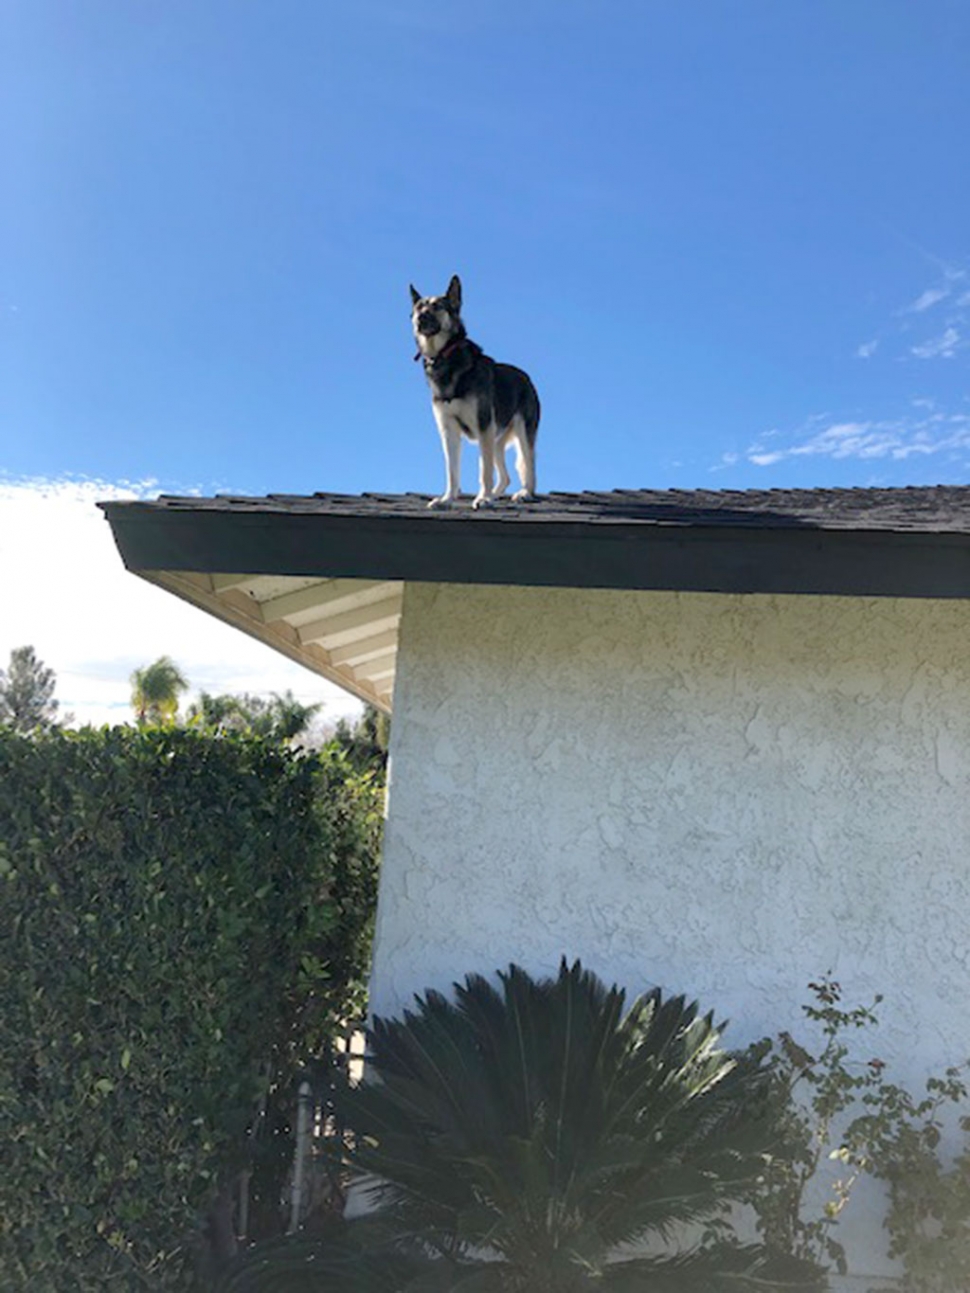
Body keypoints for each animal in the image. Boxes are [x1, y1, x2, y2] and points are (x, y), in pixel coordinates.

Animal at [411, 275, 543, 506]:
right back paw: (497, 493)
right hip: (496, 440)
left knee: (530, 468)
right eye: (419, 307)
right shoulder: (449, 431)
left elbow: (484, 471)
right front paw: (447, 499)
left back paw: (525, 493)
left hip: (521, 434)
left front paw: (483, 499)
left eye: (437, 306)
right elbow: (452, 471)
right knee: (506, 476)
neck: (445, 357)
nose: (420, 318)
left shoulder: (483, 427)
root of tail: (526, 378)